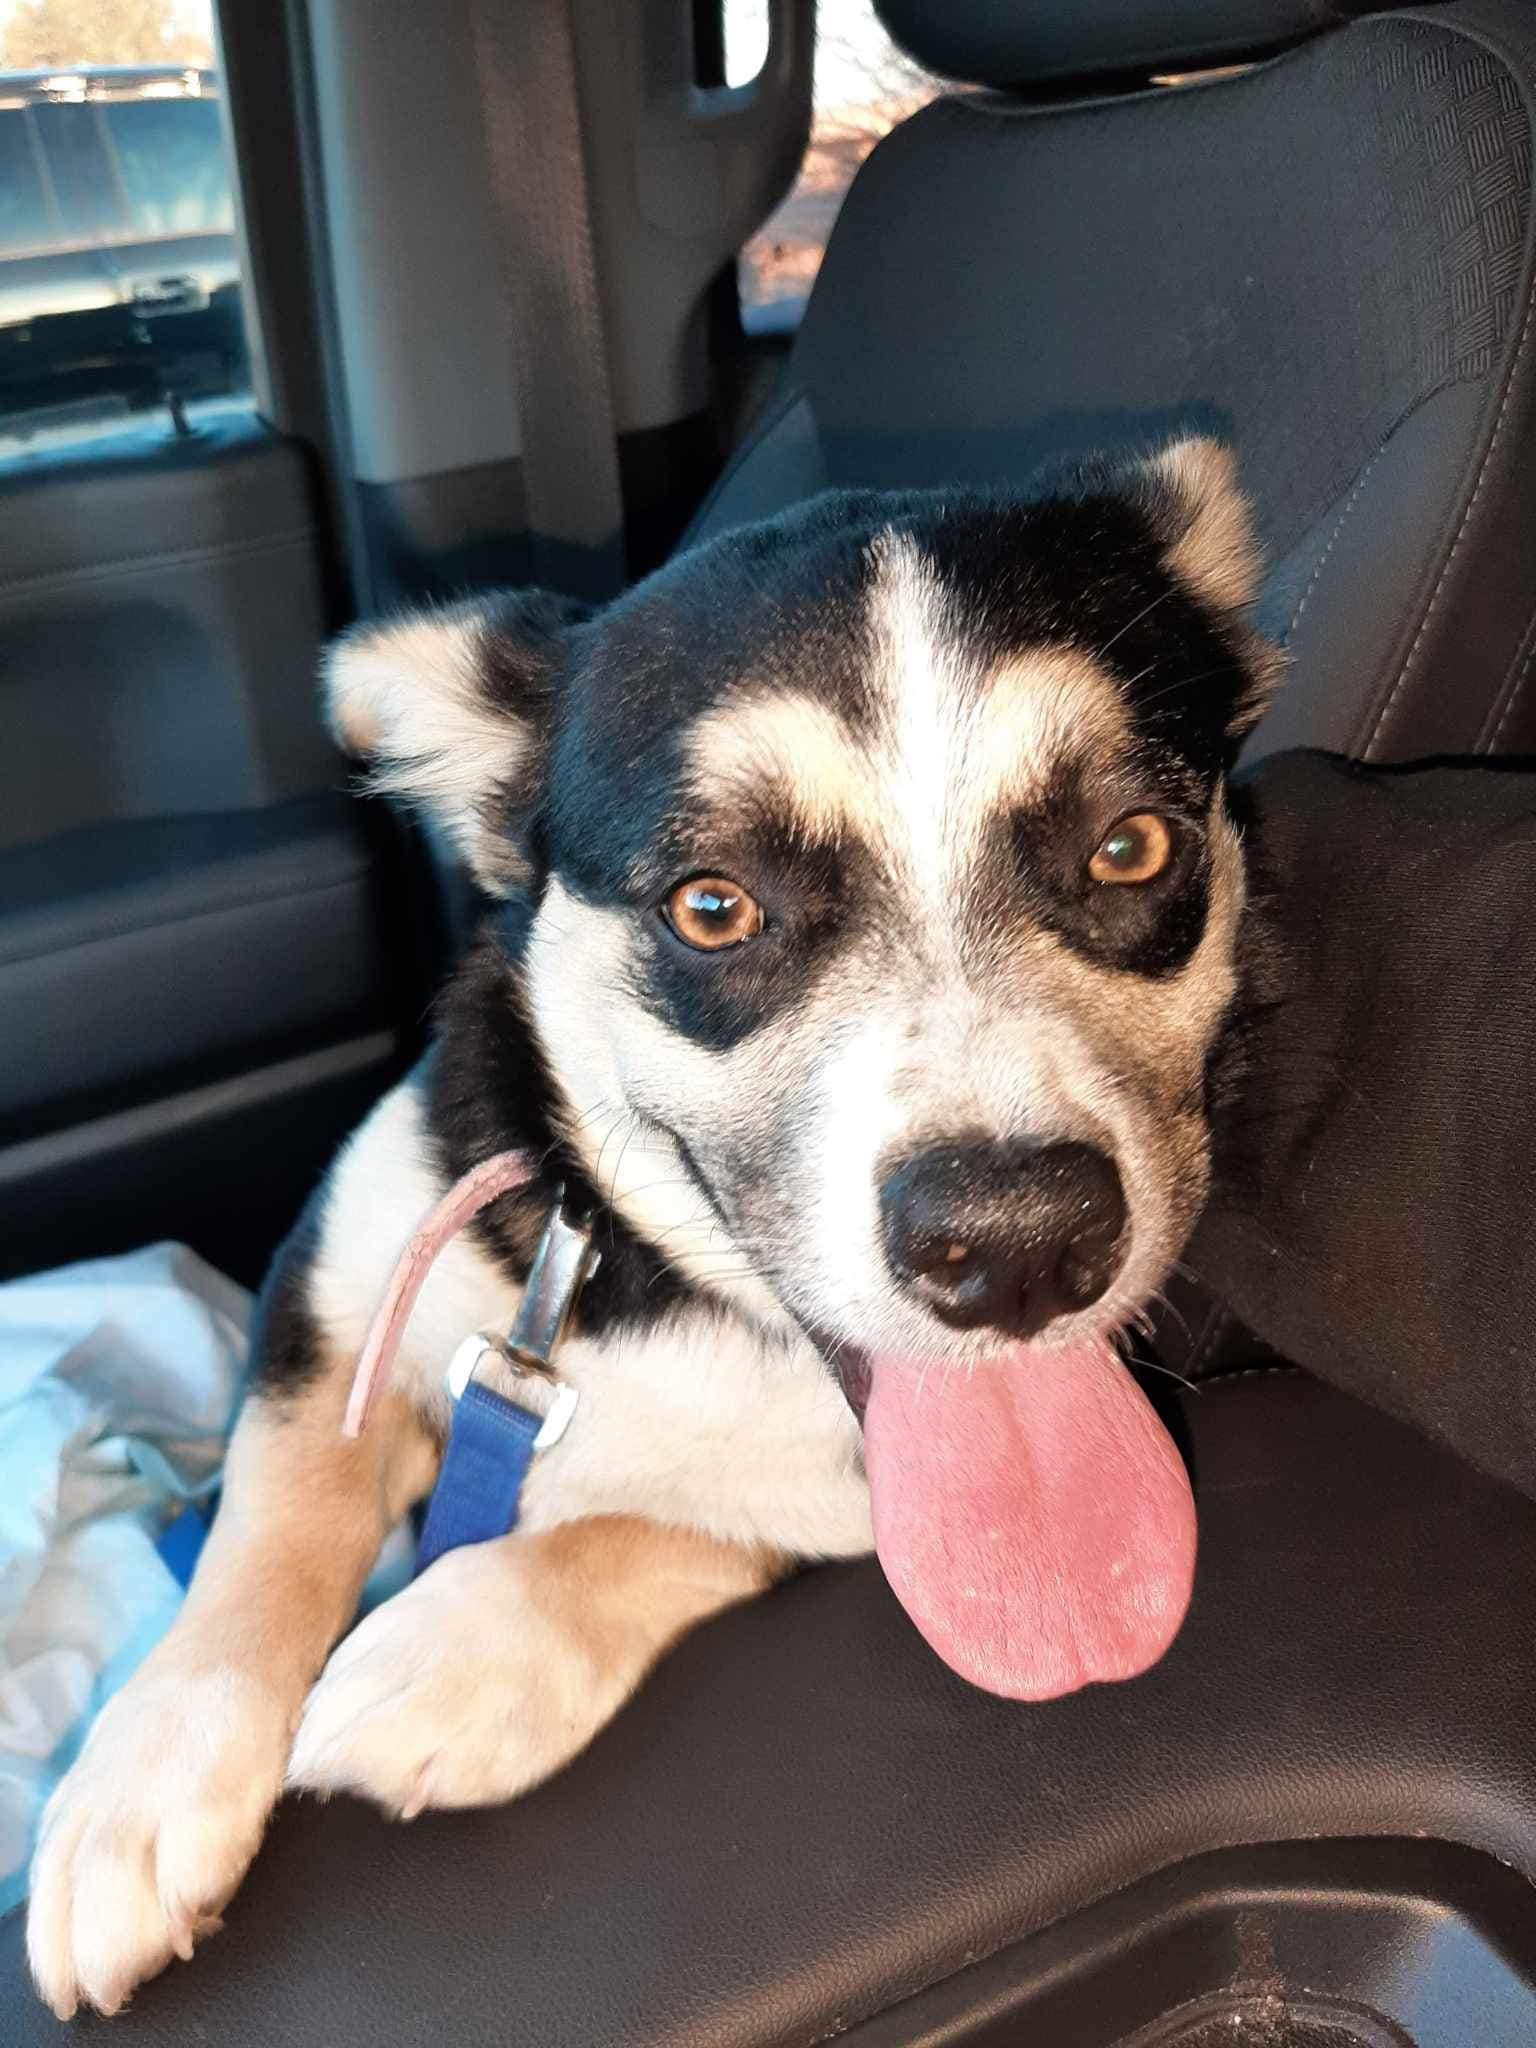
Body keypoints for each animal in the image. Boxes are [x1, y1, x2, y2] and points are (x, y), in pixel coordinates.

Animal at [27, 436, 1286, 2015]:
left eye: (1131, 845)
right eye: (712, 905)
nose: (1017, 1247)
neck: (627, 1277)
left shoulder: (820, 1506)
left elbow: (659, 1528)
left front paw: (460, 1648)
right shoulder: (336, 1282)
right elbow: (272, 1522)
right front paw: (138, 1792)